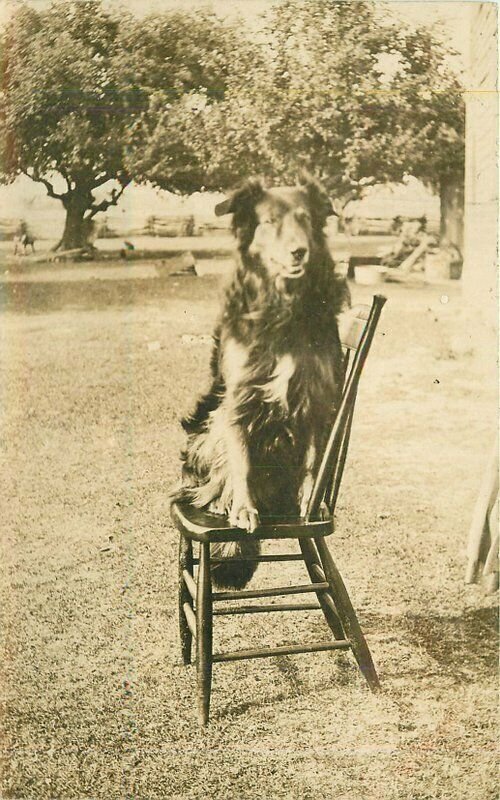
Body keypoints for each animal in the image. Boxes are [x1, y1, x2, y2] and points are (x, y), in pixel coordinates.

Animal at [175, 175, 348, 588]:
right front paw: (241, 508)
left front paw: (310, 503)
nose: (299, 252)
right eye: (269, 221)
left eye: (306, 218)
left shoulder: (318, 393)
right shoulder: (238, 397)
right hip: (206, 427)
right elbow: (239, 460)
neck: (283, 309)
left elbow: (314, 459)